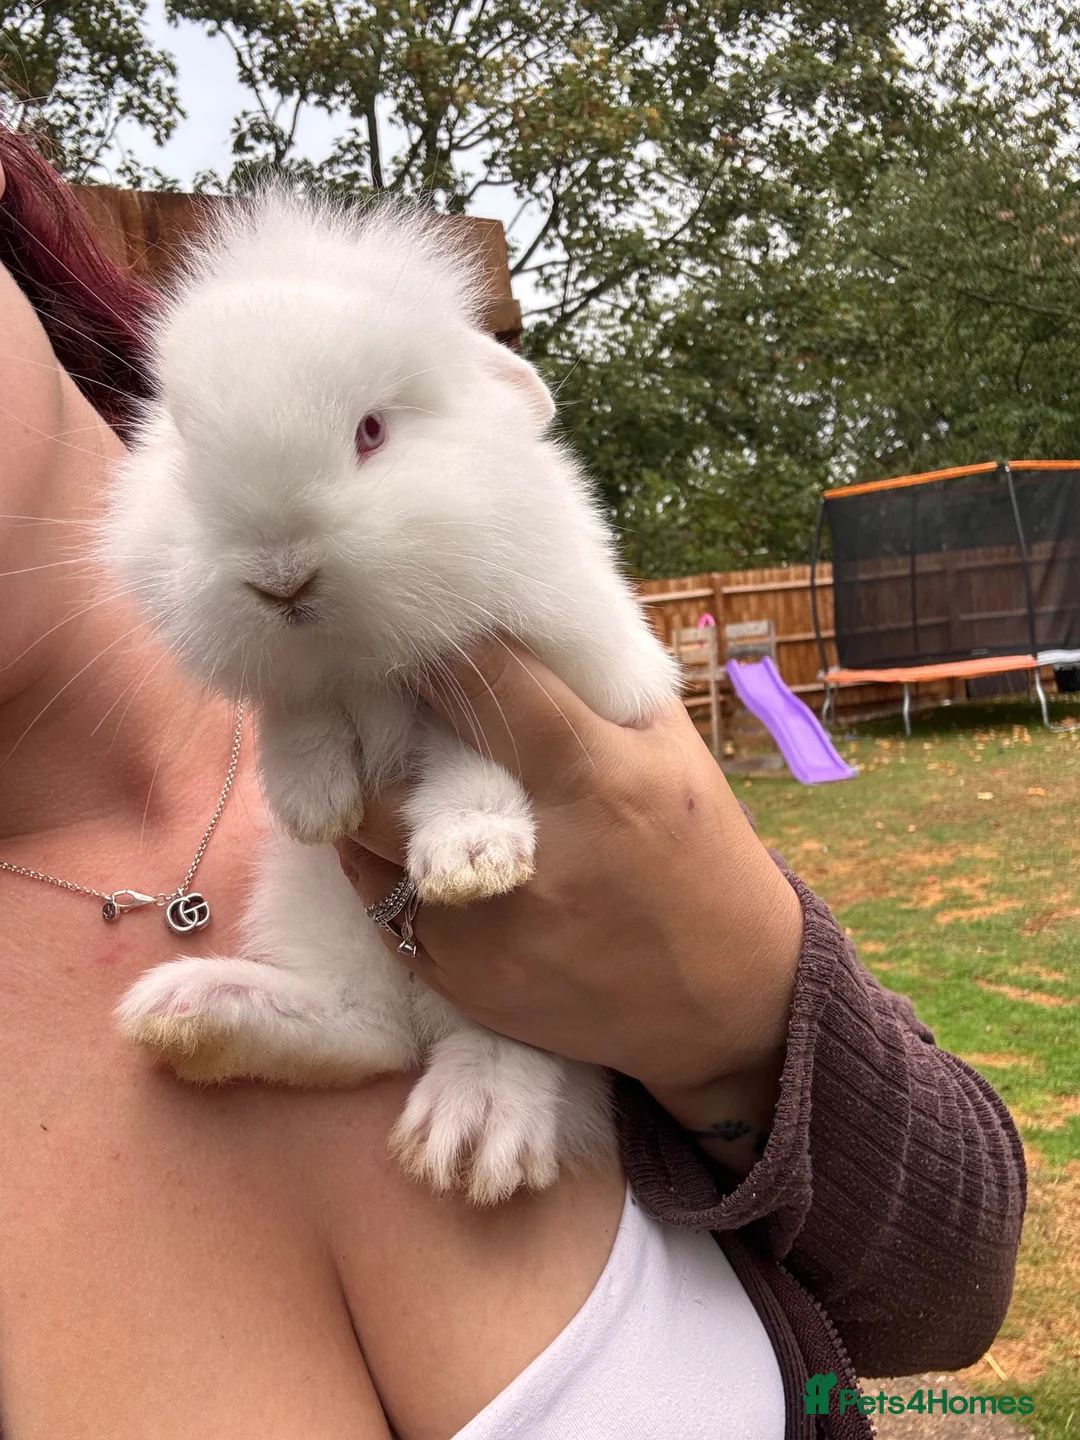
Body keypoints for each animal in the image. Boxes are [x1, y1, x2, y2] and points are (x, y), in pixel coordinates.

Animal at [105, 190, 680, 1205]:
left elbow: (472, 762)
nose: (279, 578)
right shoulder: (297, 683)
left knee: (518, 1042)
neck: (357, 659)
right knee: (364, 1033)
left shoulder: (547, 667)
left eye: (371, 431)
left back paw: (477, 1125)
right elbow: (293, 716)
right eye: (185, 445)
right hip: (314, 910)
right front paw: (313, 800)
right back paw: (199, 1014)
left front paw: (471, 856)